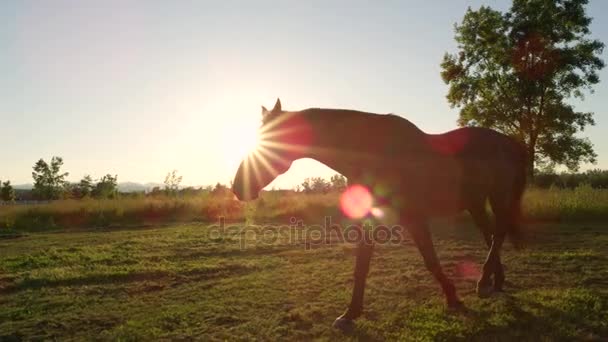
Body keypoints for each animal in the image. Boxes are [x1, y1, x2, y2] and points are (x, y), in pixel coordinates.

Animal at [230, 98, 524, 332]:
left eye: (273, 140)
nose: (237, 188)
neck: (375, 153)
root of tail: (508, 142)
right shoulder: (370, 218)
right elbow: (361, 266)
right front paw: (349, 315)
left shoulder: (414, 217)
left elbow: (430, 260)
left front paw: (453, 299)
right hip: (475, 202)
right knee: (491, 234)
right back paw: (495, 282)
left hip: (497, 196)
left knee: (498, 232)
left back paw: (484, 282)